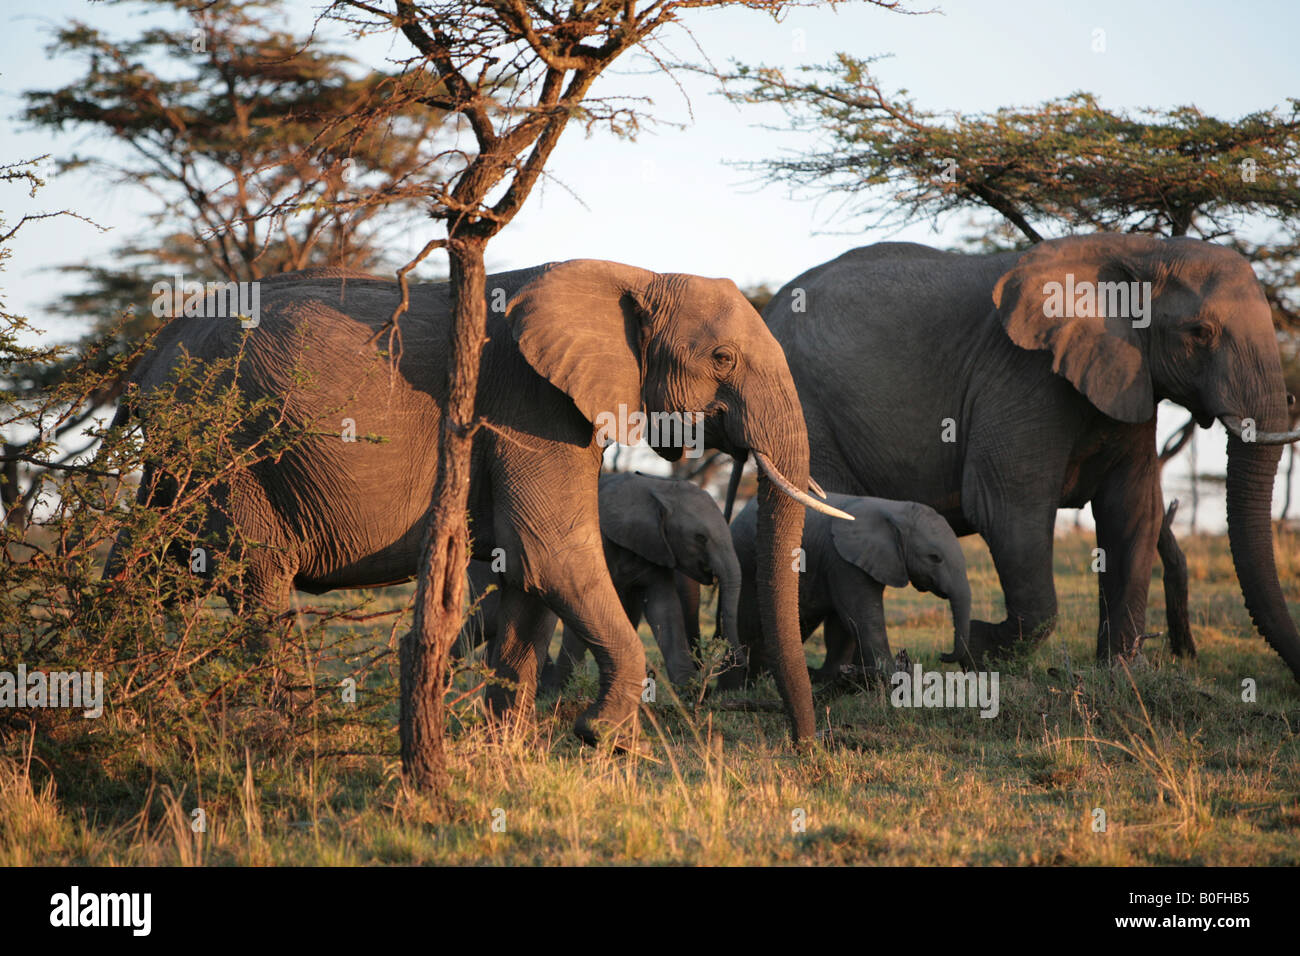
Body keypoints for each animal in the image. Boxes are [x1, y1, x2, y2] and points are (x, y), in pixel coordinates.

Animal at [454, 468, 743, 686]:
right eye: (700, 537)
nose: (735, 661)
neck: (655, 488)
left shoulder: (653, 548)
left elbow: (664, 611)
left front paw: (687, 694)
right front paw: (562, 691)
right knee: (489, 614)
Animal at [728, 494, 972, 686]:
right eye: (935, 557)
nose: (943, 655)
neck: (894, 509)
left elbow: (843, 624)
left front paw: (835, 677)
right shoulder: (843, 560)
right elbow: (862, 617)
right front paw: (891, 679)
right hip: (747, 562)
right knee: (747, 625)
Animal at [759, 234, 1300, 681]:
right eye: (1199, 332)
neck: (1141, 249)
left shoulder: (1130, 377)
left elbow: (1133, 512)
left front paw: (1121, 673)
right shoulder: (1023, 376)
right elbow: (1008, 508)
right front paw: (977, 647)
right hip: (803, 409)